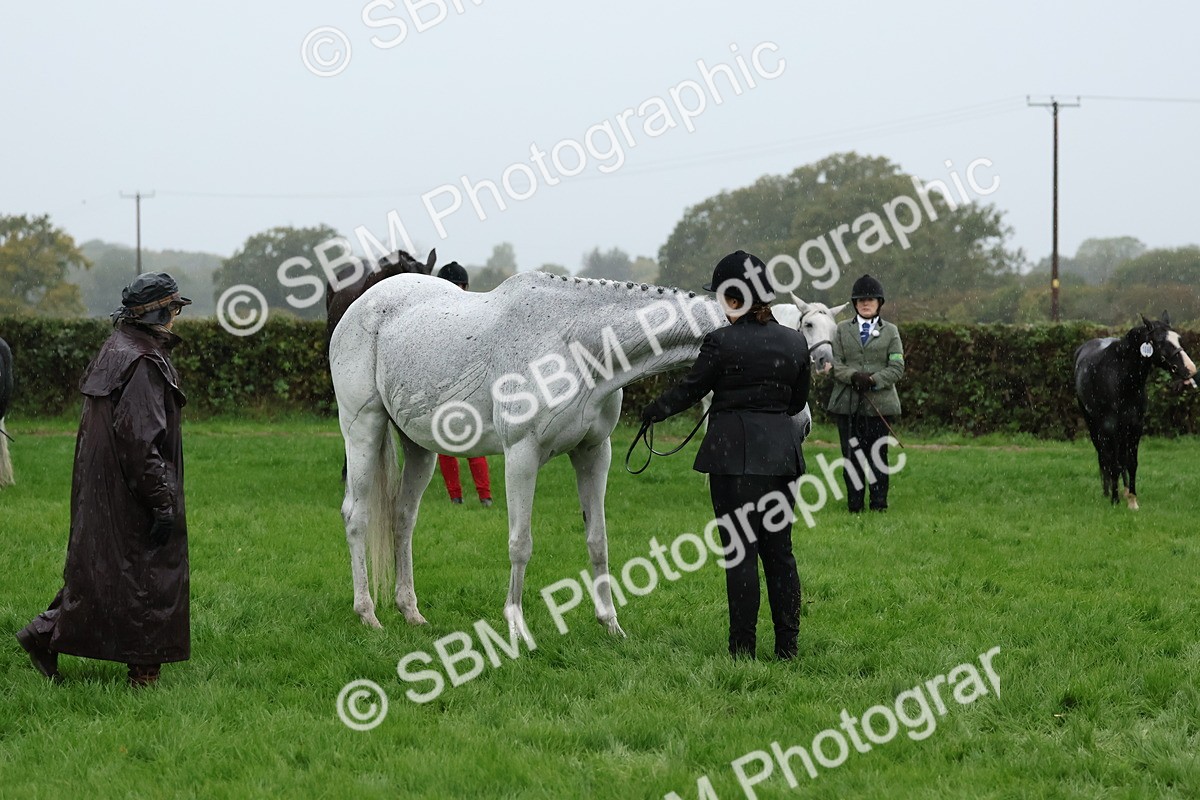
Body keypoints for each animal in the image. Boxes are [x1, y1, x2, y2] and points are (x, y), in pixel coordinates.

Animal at [329, 271, 729, 642]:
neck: (573, 343)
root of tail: (359, 304)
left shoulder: (594, 453)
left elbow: (598, 541)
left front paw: (611, 624)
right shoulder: (522, 454)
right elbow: (520, 544)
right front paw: (517, 628)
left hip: (420, 448)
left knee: (403, 518)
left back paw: (411, 612)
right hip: (363, 428)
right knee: (356, 516)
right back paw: (368, 614)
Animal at [1074, 313, 1196, 509]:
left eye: (1178, 339)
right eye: (1160, 341)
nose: (1190, 369)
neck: (1121, 378)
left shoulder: (1135, 426)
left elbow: (1131, 463)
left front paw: (1132, 500)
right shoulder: (1111, 427)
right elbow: (1113, 462)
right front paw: (1114, 499)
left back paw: (1123, 491)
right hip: (1093, 424)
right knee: (1103, 455)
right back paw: (1107, 491)